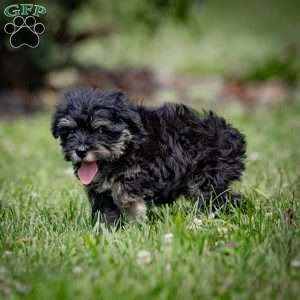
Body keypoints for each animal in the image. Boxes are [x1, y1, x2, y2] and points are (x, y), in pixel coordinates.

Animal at [51, 88, 246, 224]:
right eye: (71, 131)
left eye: (99, 130)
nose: (81, 150)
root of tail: (231, 135)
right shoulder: (99, 189)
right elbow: (106, 208)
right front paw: (107, 229)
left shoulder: (148, 169)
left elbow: (123, 190)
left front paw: (136, 216)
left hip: (207, 179)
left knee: (220, 199)